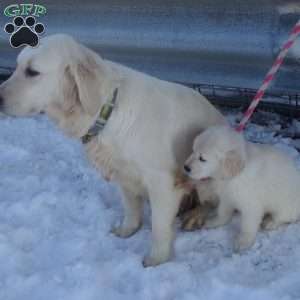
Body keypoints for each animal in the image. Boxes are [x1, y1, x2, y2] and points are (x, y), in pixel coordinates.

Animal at [0, 34, 225, 266]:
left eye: (32, 72)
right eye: (17, 66)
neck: (106, 112)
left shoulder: (162, 182)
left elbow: (159, 227)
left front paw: (156, 259)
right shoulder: (123, 172)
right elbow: (131, 208)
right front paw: (128, 230)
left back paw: (195, 216)